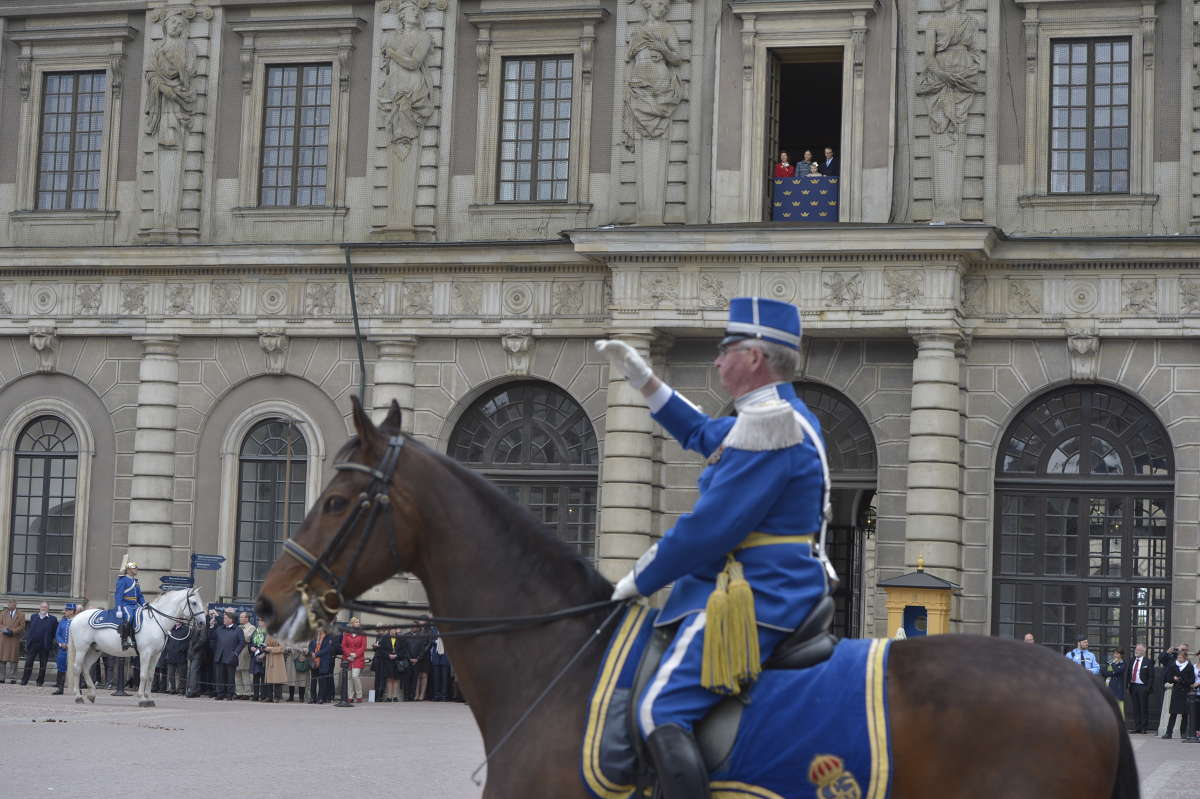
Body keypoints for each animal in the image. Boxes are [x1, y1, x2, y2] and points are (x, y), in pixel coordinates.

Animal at [67, 585, 206, 705]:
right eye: (194, 603)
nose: (203, 623)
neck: (156, 621)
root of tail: (76, 618)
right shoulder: (146, 653)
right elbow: (143, 675)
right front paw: (142, 699)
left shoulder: (156, 655)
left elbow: (150, 676)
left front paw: (149, 698)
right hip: (82, 649)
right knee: (77, 668)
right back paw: (78, 696)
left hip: (94, 650)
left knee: (85, 668)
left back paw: (91, 695)